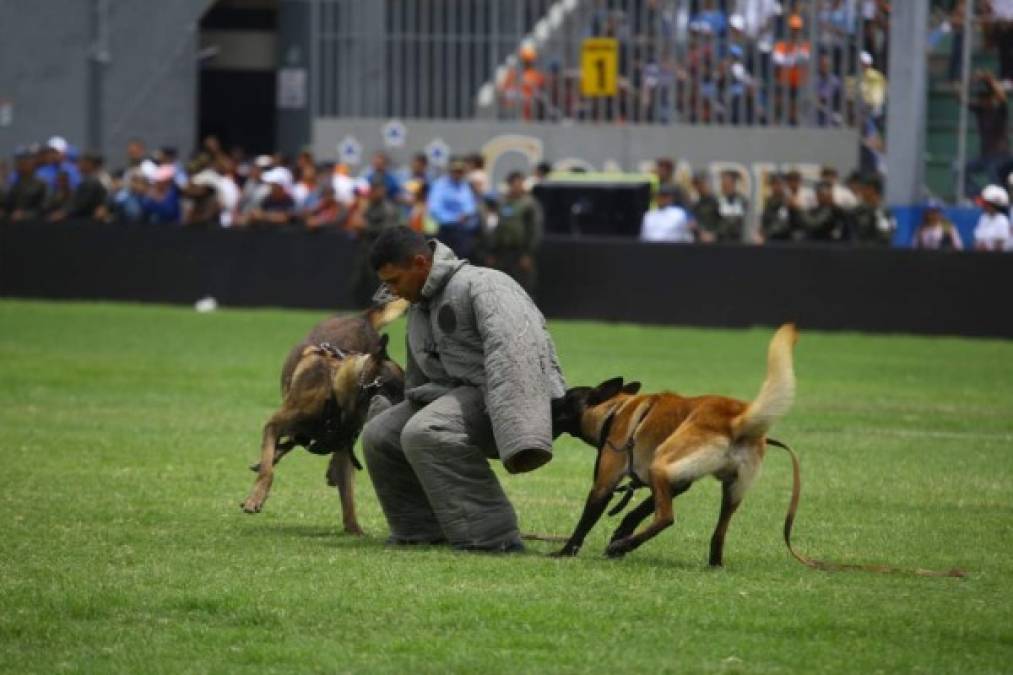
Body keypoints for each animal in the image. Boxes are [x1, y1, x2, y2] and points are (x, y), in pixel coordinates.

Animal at [240, 300, 407, 531]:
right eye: (397, 389)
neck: (335, 393)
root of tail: (362, 317)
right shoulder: (274, 425)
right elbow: (268, 470)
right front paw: (256, 497)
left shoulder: (344, 446)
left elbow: (348, 496)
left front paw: (354, 530)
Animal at [551, 320, 794, 563]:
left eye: (565, 398)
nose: (550, 400)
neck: (614, 410)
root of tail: (735, 420)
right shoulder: (677, 482)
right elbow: (636, 512)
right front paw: (620, 534)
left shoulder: (604, 484)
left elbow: (584, 524)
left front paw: (565, 551)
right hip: (731, 490)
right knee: (719, 534)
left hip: (659, 465)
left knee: (666, 518)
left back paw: (623, 545)